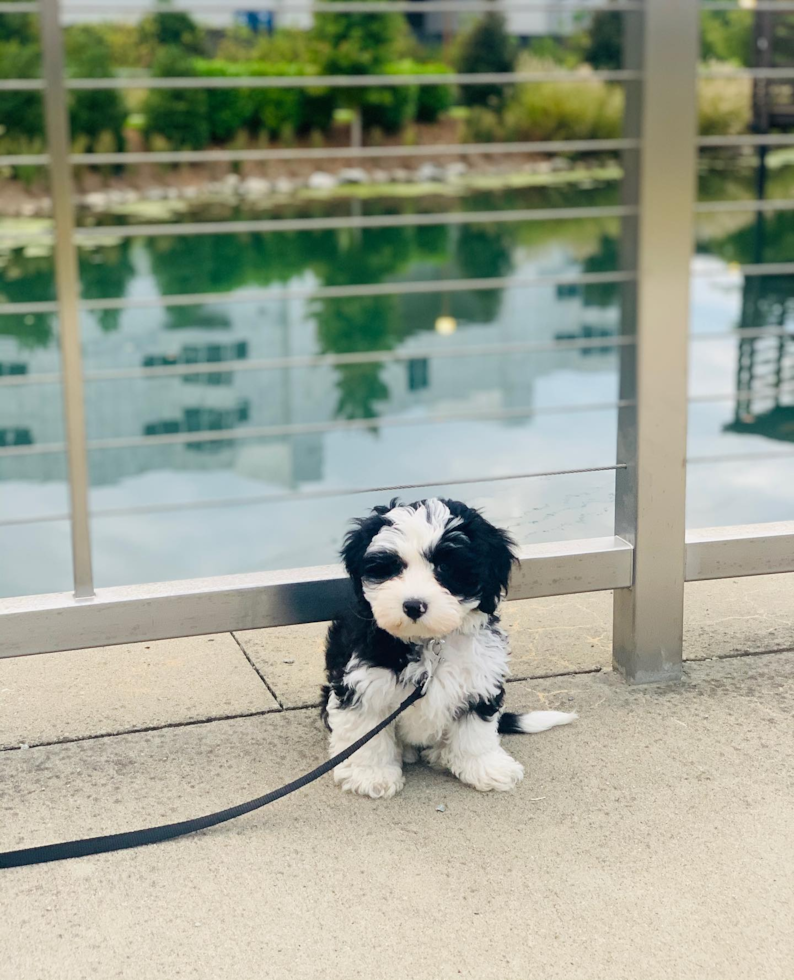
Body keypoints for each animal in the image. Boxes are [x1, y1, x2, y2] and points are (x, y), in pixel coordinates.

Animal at [322, 498, 576, 796]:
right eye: (392, 567)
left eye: (444, 567)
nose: (413, 605)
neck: (429, 641)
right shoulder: (362, 683)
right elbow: (365, 734)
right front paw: (371, 775)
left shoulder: (479, 679)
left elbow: (475, 732)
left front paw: (485, 767)